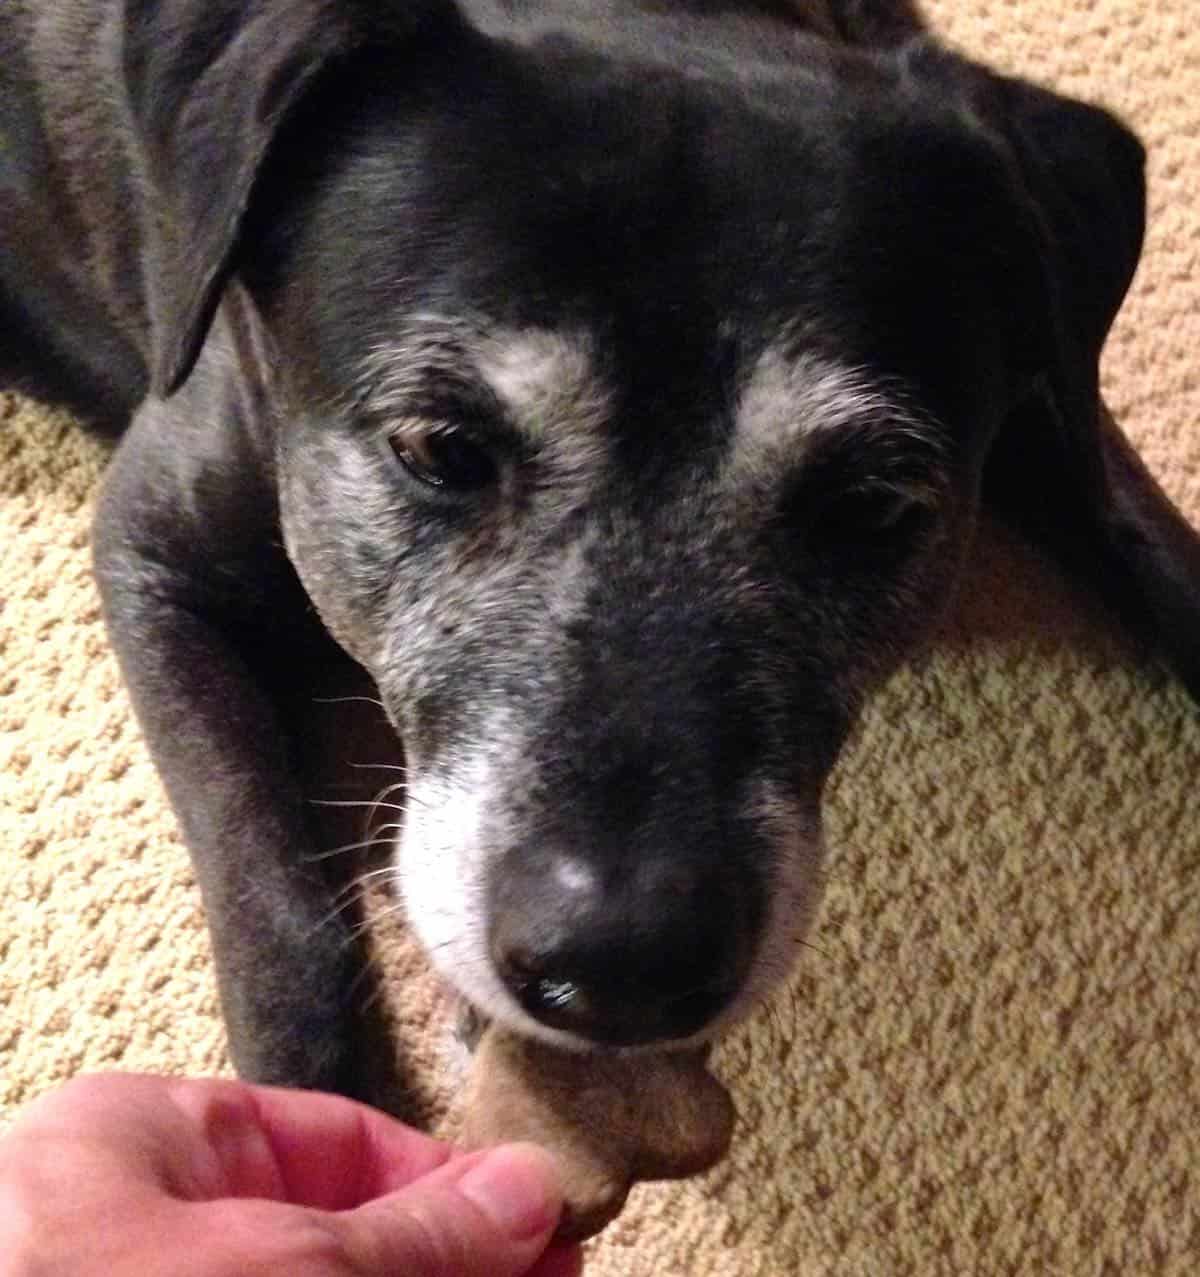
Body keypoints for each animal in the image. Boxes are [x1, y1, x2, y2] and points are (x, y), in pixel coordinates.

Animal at [2, 0, 1200, 1108]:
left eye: (869, 502)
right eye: (441, 447)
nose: (622, 967)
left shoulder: (1046, 394)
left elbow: (1158, 545)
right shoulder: (153, 556)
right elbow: (273, 899)